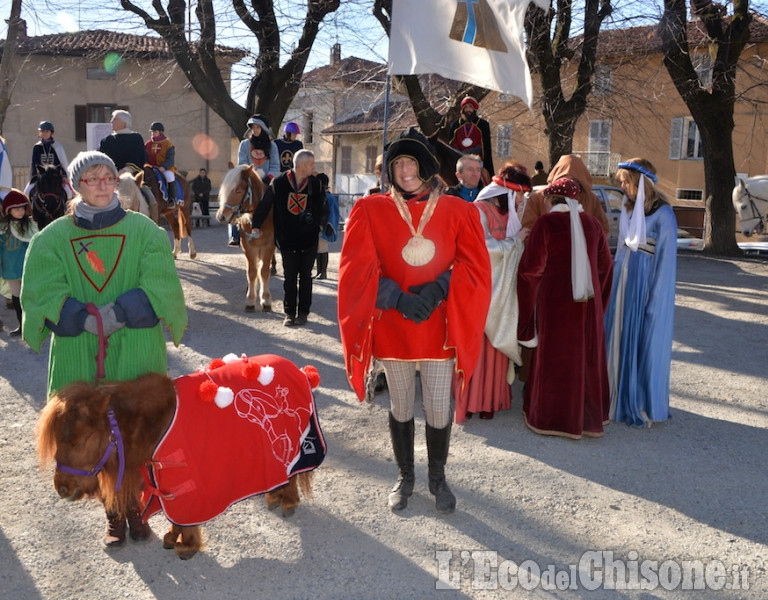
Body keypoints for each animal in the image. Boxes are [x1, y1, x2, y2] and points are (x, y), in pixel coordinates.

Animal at [36, 368, 316, 560]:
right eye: (58, 439)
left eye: (80, 439)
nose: (61, 487)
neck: (156, 424)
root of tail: (300, 370)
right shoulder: (164, 484)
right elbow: (174, 516)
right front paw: (173, 536)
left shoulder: (186, 486)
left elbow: (186, 518)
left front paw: (187, 545)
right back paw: (275, 496)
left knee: (292, 472)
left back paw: (288, 501)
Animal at [216, 165, 276, 312]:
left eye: (238, 191)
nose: (221, 216)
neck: (259, 218)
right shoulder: (248, 246)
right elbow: (252, 271)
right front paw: (250, 299)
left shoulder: (268, 246)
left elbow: (264, 271)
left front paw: (266, 299)